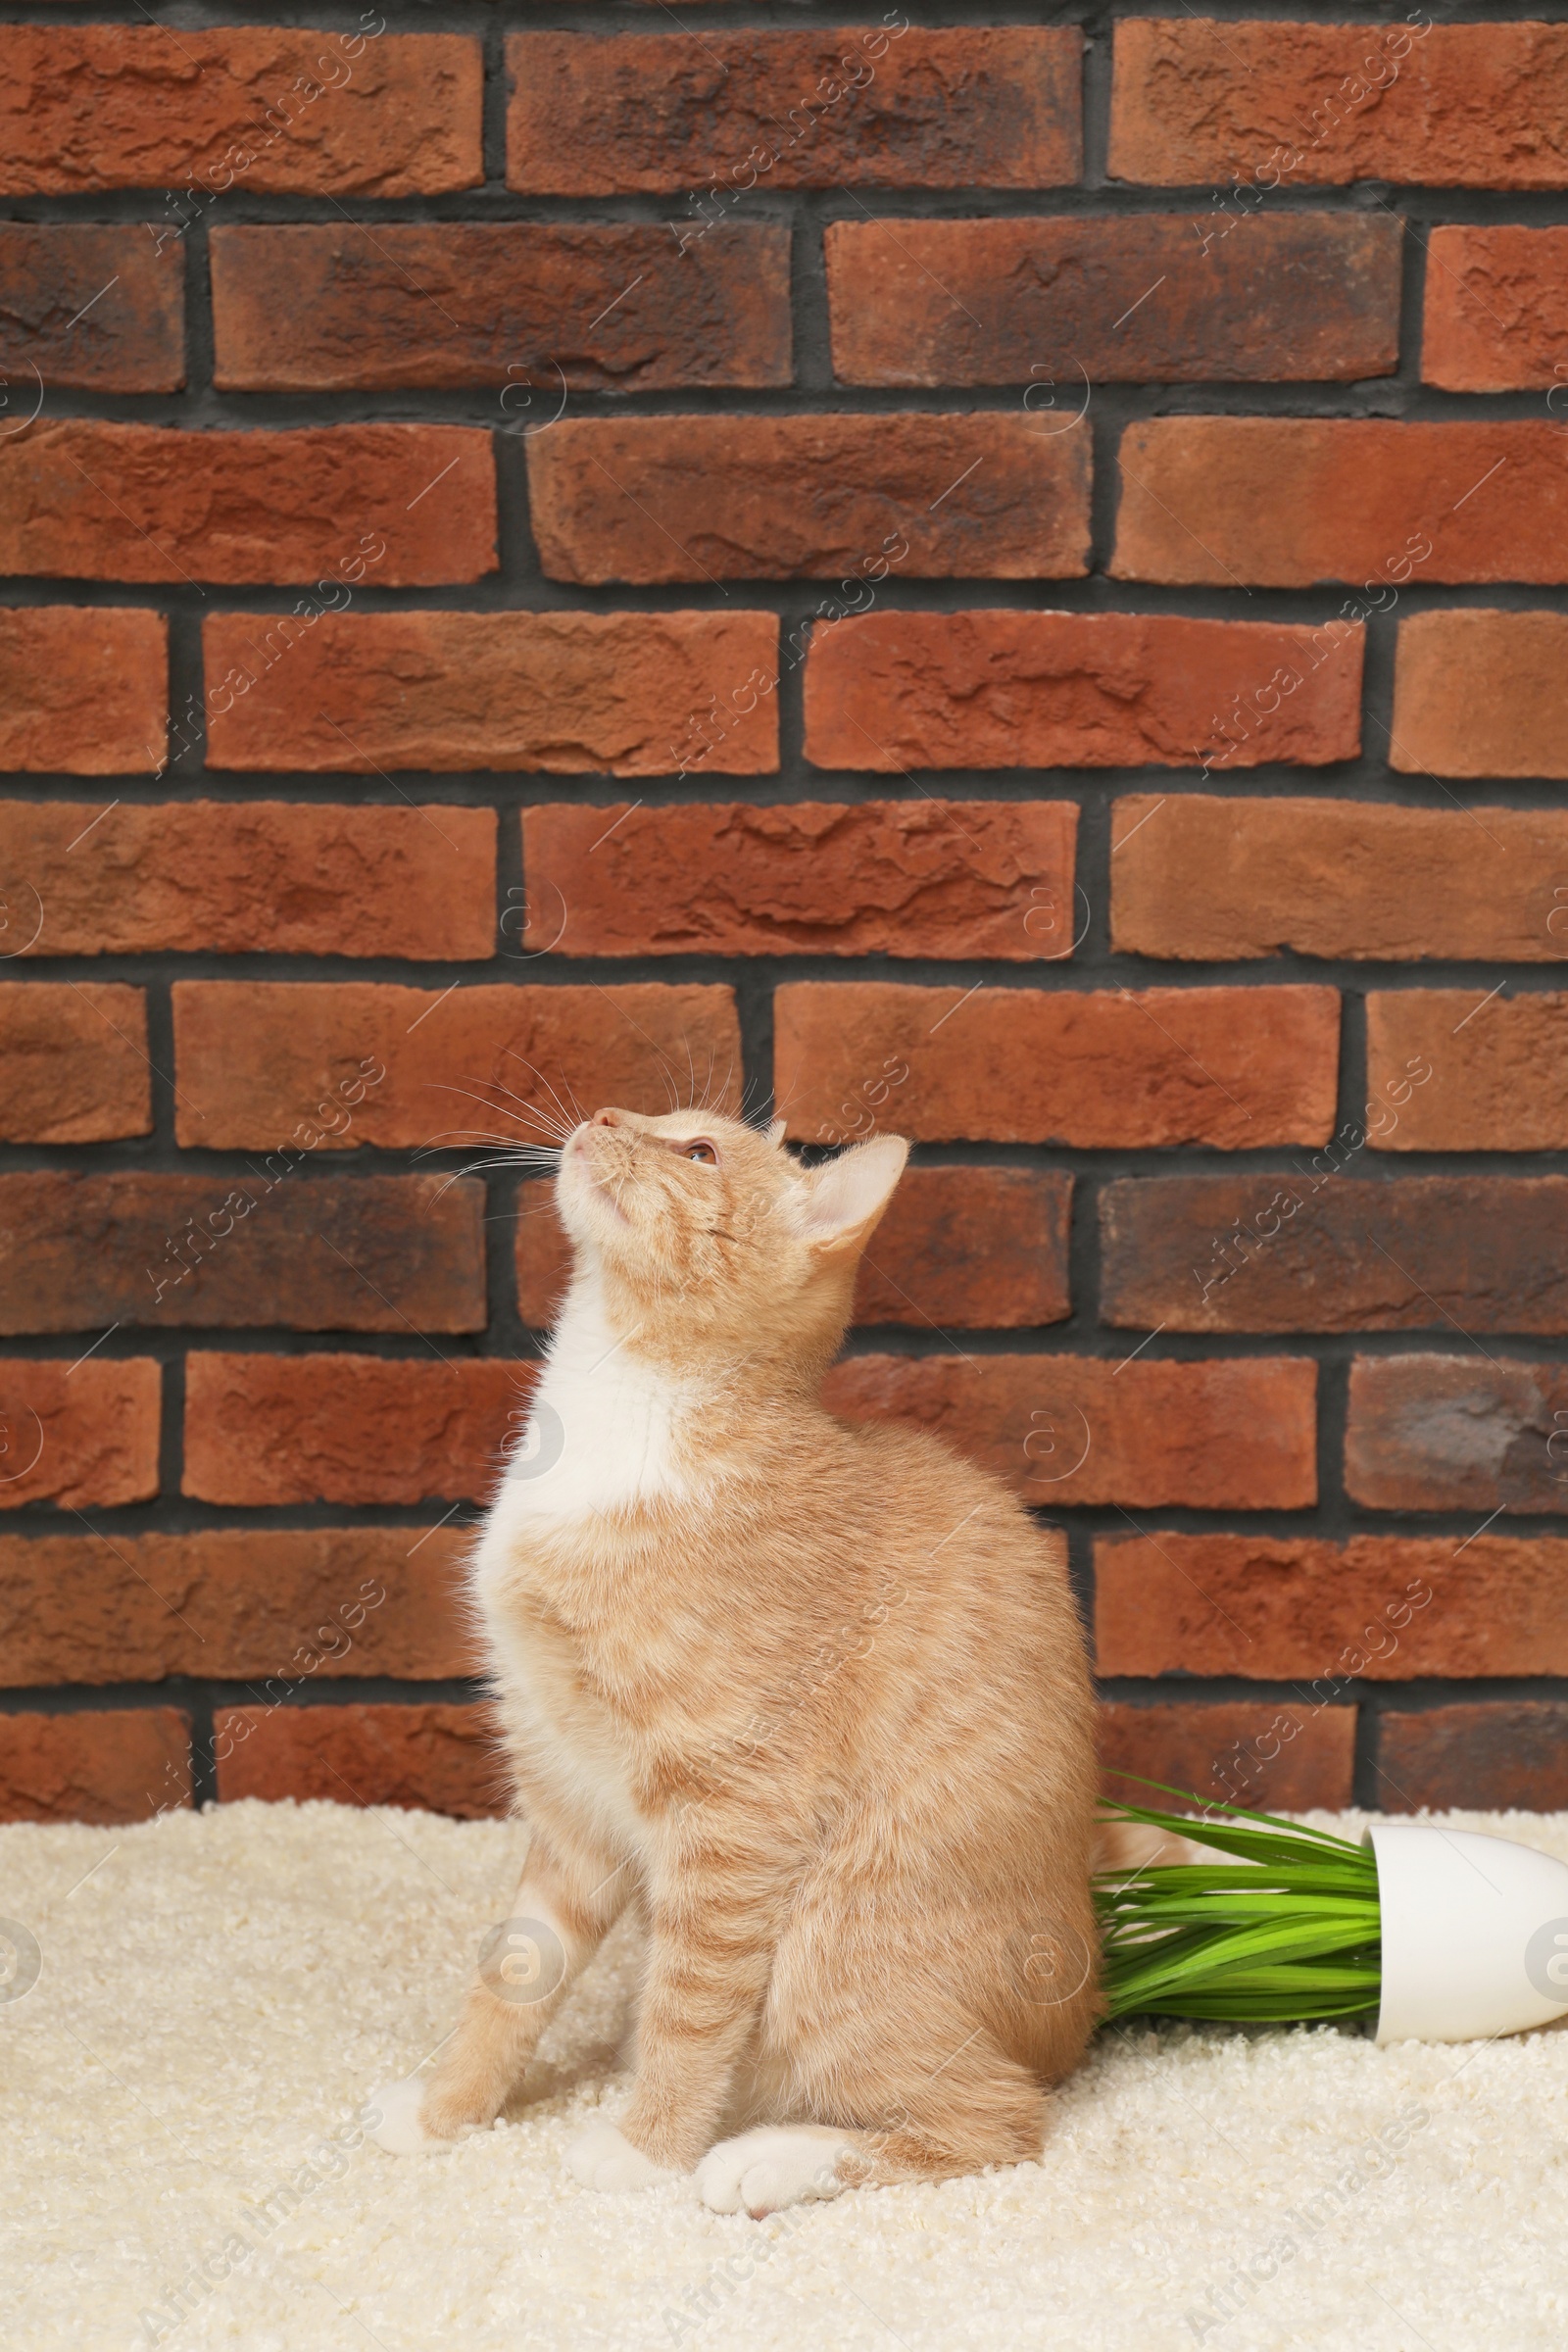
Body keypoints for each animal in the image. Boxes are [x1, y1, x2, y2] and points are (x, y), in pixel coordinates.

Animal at [373, 1101, 1100, 2201]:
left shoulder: (736, 1811)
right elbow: (515, 1974)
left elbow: (689, 2001)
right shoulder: (564, 1791)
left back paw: (766, 2161)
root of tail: (1081, 2006)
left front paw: (644, 2149)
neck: (623, 1422)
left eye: (699, 1151)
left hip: (829, 1952)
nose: (604, 1115)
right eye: (657, 1120)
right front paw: (442, 2112)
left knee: (996, 2122)